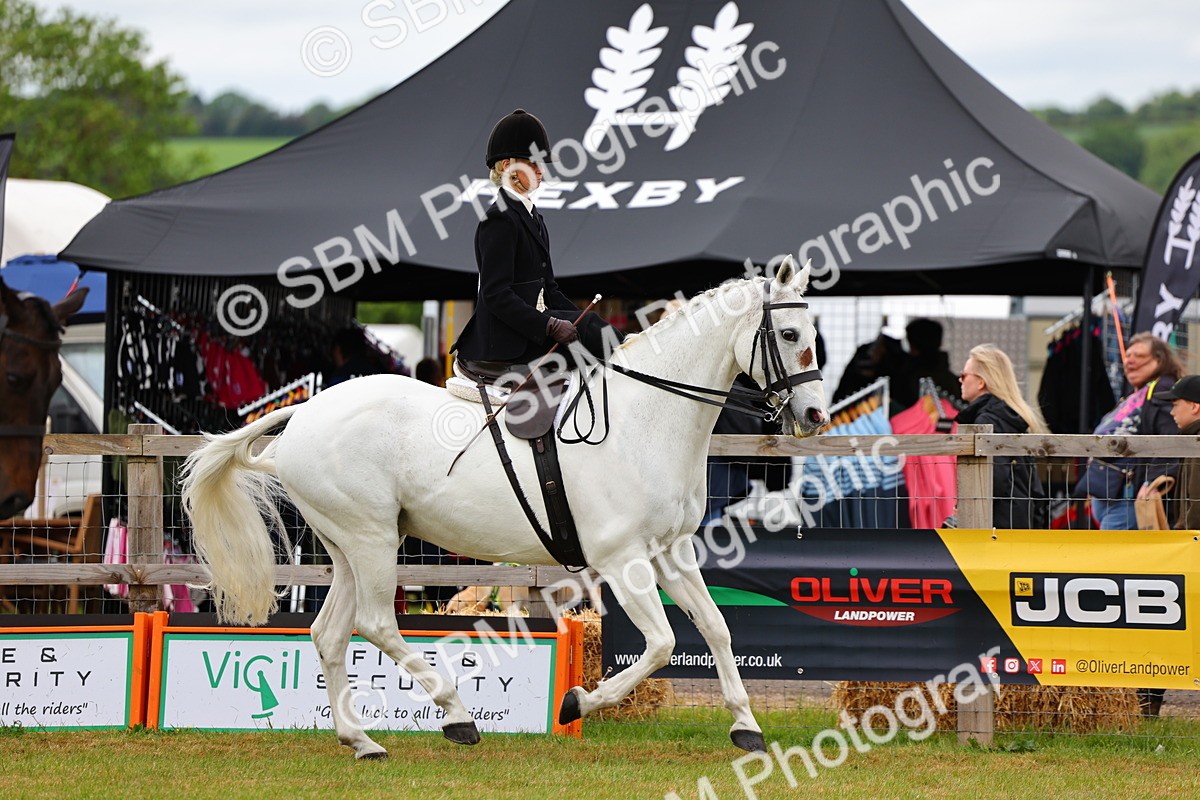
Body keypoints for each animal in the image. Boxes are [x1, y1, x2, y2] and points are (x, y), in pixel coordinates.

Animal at [181, 255, 828, 759]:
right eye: (790, 336)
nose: (817, 417)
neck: (646, 420)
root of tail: (306, 412)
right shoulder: (622, 561)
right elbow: (663, 643)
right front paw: (576, 702)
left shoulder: (670, 552)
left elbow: (715, 628)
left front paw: (746, 727)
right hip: (371, 541)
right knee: (377, 623)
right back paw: (457, 716)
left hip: (349, 547)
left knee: (330, 632)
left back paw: (361, 741)